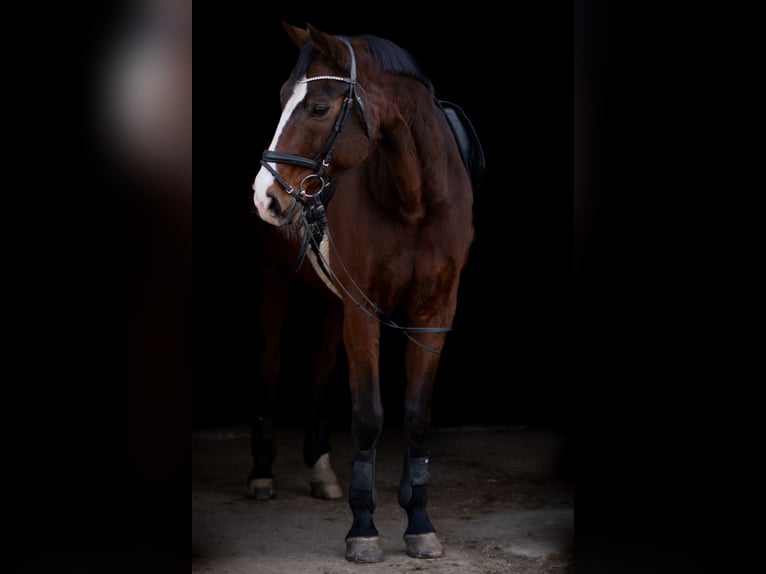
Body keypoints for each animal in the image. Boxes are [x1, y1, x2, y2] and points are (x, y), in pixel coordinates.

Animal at [252, 21, 484, 564]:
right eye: (281, 98)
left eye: (318, 108)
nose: (264, 196)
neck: (414, 199)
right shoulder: (363, 311)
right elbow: (368, 416)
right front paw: (363, 527)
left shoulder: (435, 311)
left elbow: (416, 416)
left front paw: (419, 521)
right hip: (273, 282)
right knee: (270, 366)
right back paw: (262, 474)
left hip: (325, 300)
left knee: (320, 370)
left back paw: (321, 471)